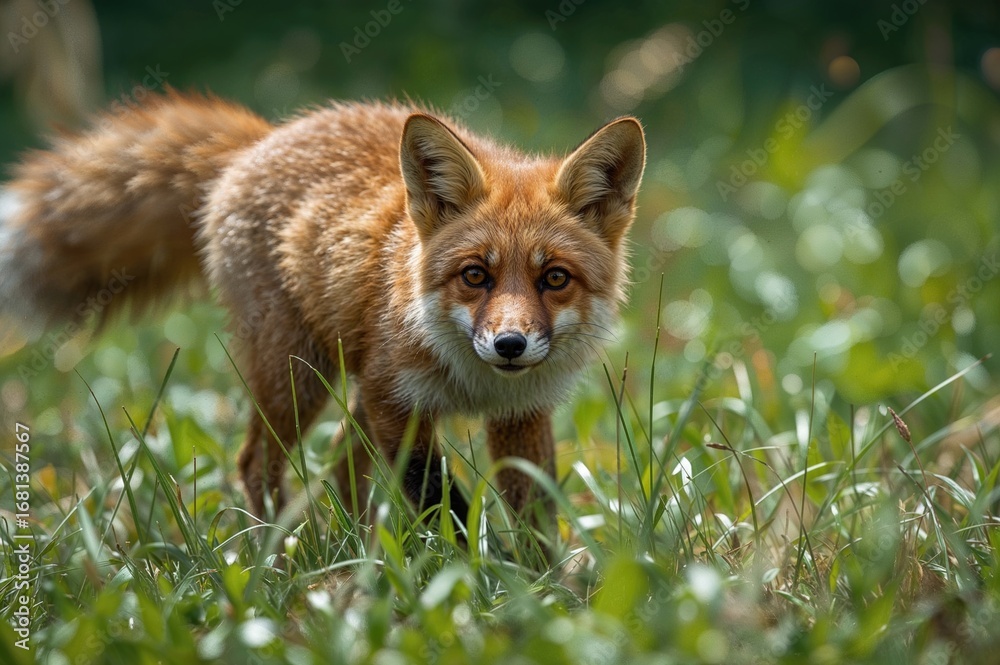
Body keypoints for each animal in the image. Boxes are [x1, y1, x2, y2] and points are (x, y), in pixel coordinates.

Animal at [0, 91, 646, 529]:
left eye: (554, 278)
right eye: (474, 276)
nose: (510, 345)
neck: (473, 380)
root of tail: (265, 137)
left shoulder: (519, 416)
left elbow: (535, 521)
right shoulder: (397, 404)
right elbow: (443, 507)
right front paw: (474, 583)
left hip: (344, 389)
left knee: (337, 465)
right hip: (298, 376)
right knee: (255, 463)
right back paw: (277, 560)